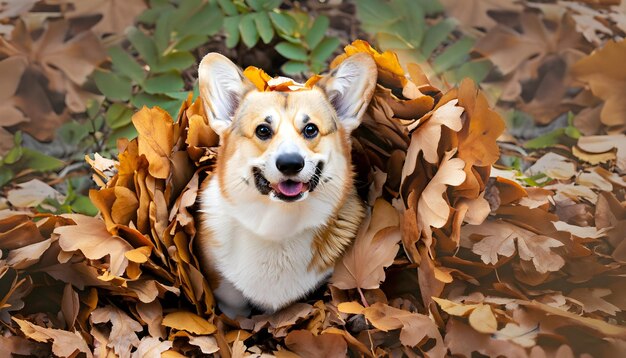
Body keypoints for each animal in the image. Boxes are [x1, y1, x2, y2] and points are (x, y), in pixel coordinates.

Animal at [195, 52, 376, 316]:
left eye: (310, 129)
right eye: (262, 130)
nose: (290, 163)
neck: (279, 226)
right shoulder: (223, 284)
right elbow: (234, 305)